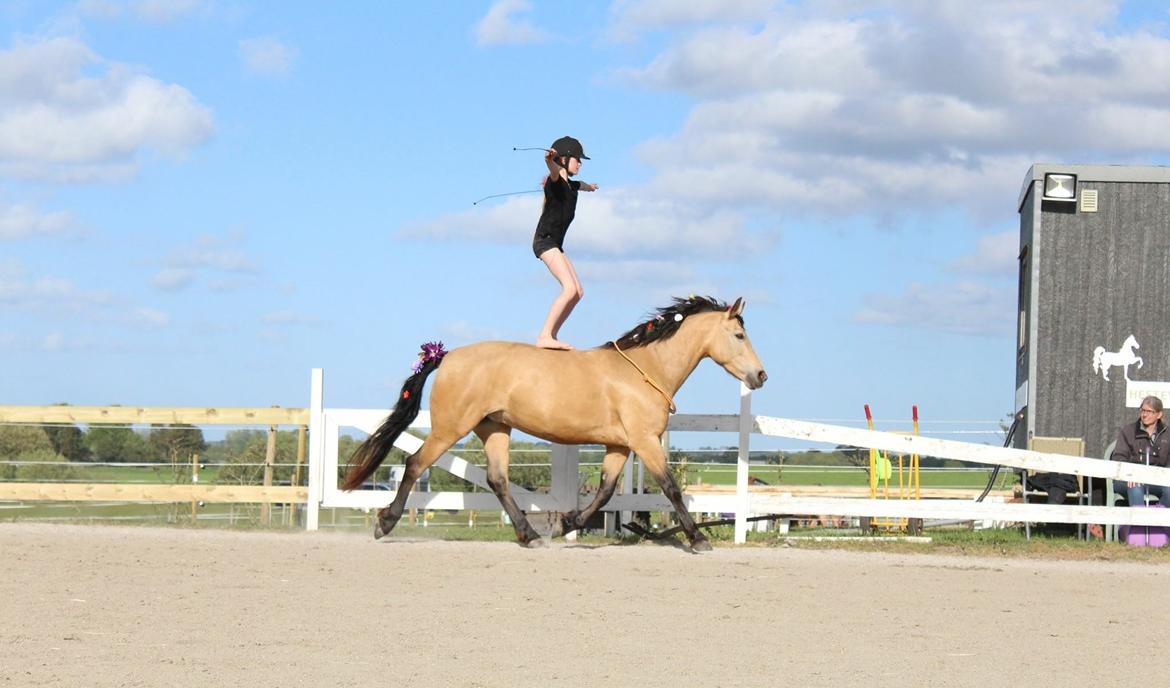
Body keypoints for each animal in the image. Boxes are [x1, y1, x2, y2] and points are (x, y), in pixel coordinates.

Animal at [341, 292, 767, 549]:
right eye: (739, 334)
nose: (761, 376)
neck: (645, 367)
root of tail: (445, 356)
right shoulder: (644, 441)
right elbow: (671, 489)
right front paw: (698, 539)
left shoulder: (619, 445)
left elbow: (605, 493)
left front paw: (566, 523)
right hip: (451, 428)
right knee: (414, 464)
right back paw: (385, 523)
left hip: (495, 427)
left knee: (498, 480)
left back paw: (529, 534)